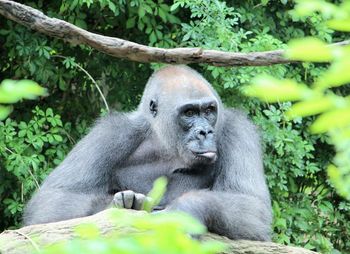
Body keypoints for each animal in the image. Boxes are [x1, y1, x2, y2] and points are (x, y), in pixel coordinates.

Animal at [23, 64, 272, 241]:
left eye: (209, 110)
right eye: (189, 113)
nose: (205, 132)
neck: (165, 141)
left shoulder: (237, 129)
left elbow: (251, 204)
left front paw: (183, 212)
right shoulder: (111, 133)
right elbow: (53, 201)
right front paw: (119, 206)